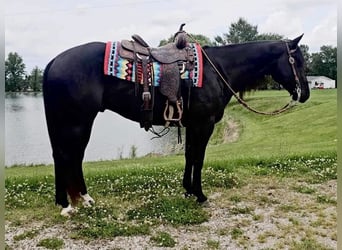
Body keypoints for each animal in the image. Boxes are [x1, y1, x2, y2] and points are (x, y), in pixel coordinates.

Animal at [42, 30, 310, 215]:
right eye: (298, 61)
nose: (305, 94)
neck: (218, 68)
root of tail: (54, 61)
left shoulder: (192, 125)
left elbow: (189, 156)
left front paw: (188, 190)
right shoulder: (204, 124)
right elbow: (199, 158)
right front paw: (200, 195)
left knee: (66, 156)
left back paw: (78, 200)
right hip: (77, 123)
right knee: (69, 156)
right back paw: (67, 204)